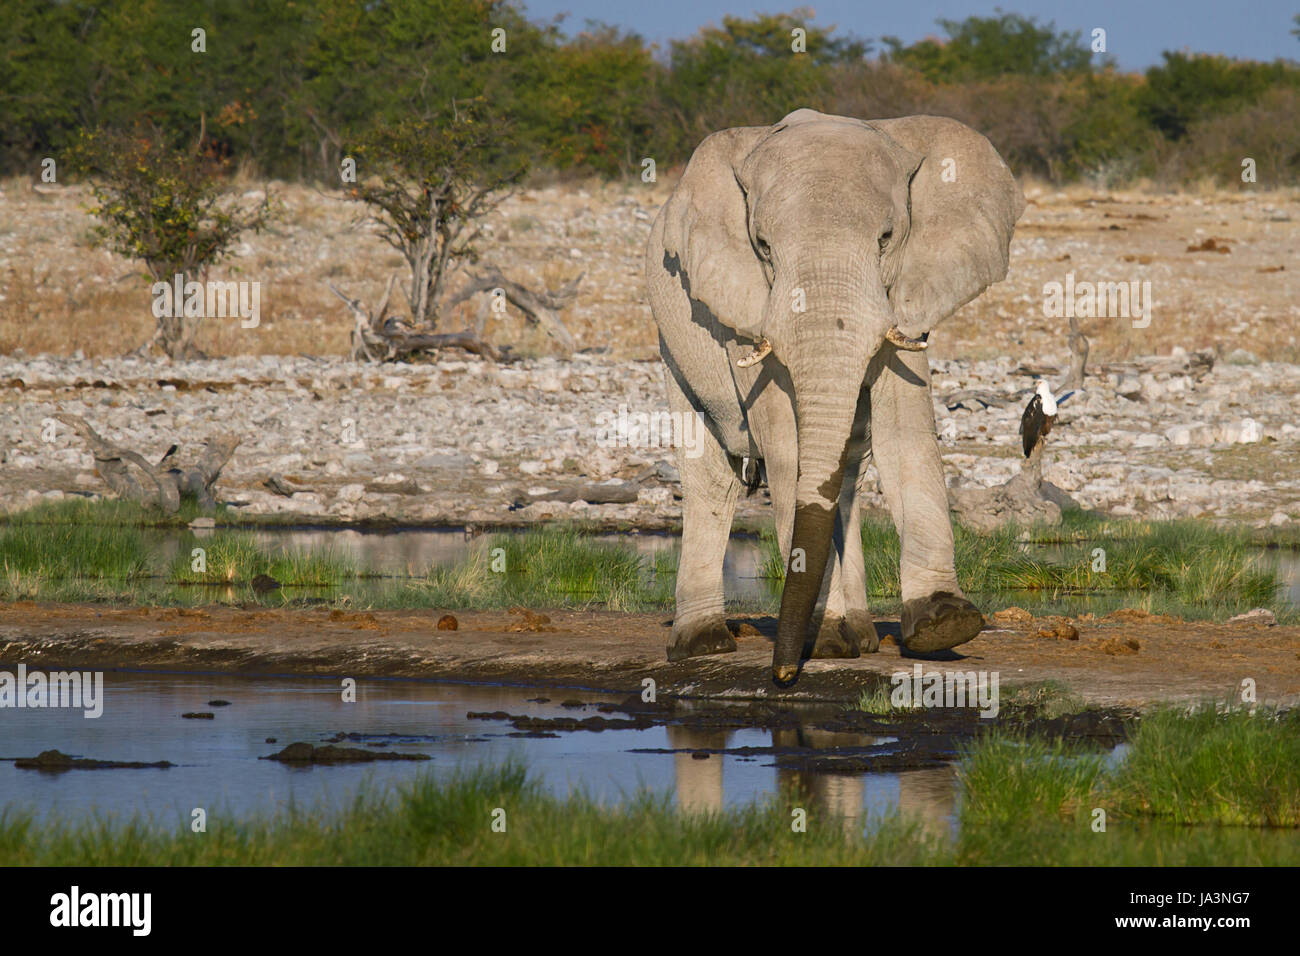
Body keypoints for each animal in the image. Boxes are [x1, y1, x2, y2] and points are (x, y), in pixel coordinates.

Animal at [644, 108, 1019, 686]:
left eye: (886, 238)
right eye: (763, 246)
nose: (781, 676)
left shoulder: (904, 296)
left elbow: (905, 427)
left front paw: (943, 626)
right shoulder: (742, 305)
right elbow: (785, 443)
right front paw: (824, 642)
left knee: (845, 478)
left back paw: (860, 636)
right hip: (673, 343)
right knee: (711, 476)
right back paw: (704, 645)